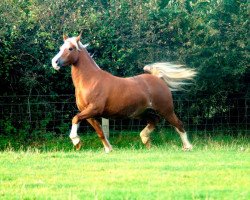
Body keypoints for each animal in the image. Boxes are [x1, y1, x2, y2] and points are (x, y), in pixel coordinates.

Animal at [51, 33, 195, 152]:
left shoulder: (94, 109)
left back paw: (187, 147)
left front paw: (76, 141)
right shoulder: (89, 114)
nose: (55, 62)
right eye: (61, 47)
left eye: (70, 48)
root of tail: (157, 78)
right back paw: (145, 140)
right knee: (154, 120)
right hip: (141, 112)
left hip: (166, 110)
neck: (91, 81)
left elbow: (75, 118)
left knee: (178, 124)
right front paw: (108, 149)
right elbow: (99, 132)